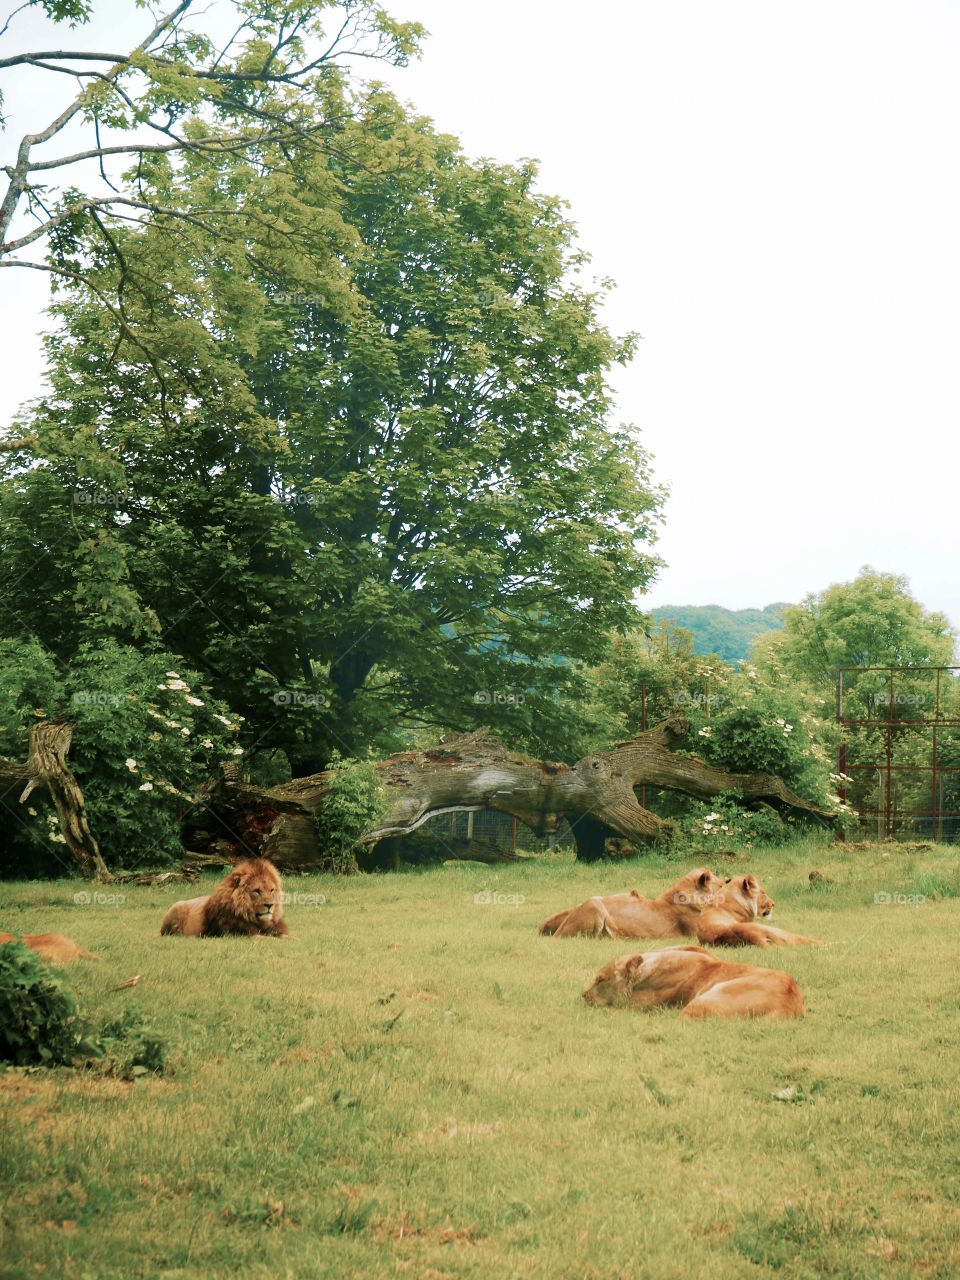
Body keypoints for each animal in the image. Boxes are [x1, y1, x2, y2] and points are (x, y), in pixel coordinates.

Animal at [160, 860, 289, 942]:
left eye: (272, 890)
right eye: (257, 891)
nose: (270, 905)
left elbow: (286, 936)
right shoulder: (237, 935)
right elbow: (269, 939)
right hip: (177, 907)